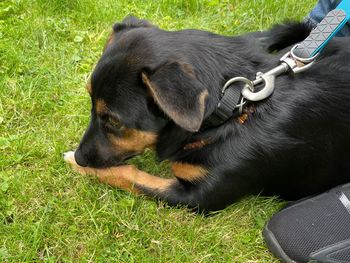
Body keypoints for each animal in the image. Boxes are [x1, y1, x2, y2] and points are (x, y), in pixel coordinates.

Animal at [64, 14, 350, 212]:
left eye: (113, 120)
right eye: (90, 102)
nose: (80, 157)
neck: (235, 107)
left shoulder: (197, 198)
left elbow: (128, 175)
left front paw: (77, 165)